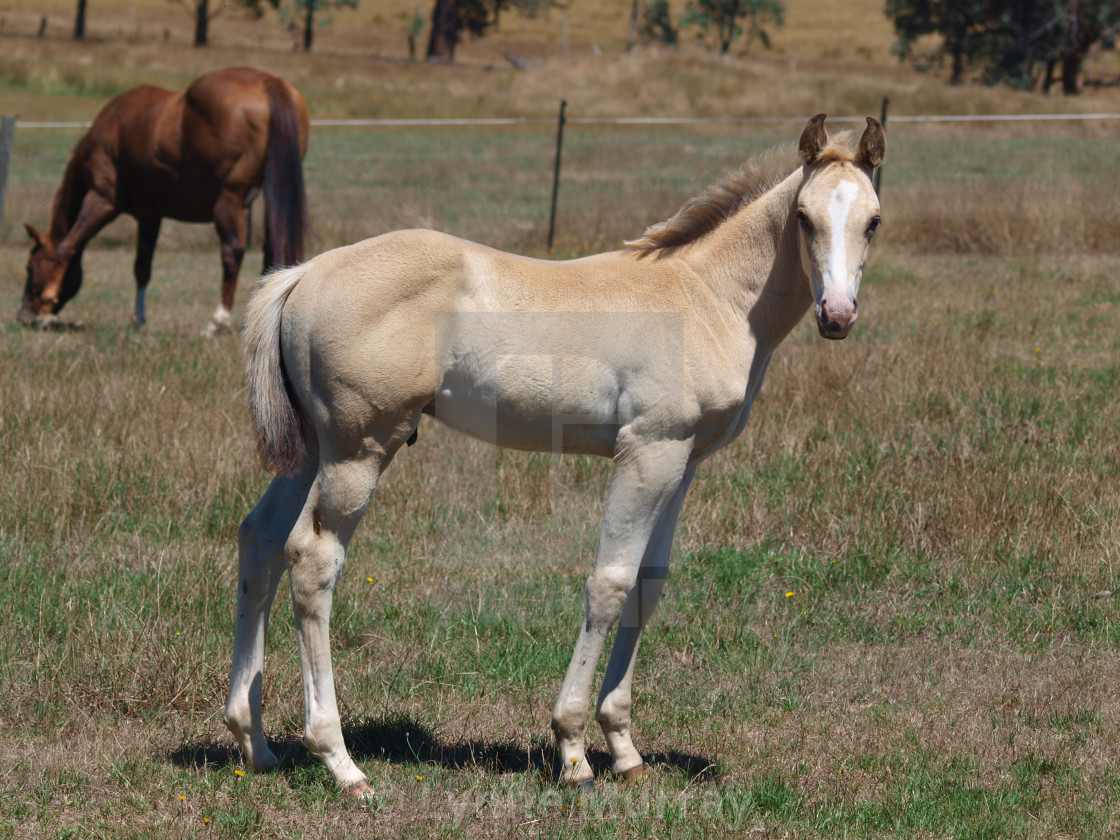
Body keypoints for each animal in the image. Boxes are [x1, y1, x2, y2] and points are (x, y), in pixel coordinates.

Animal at [20, 67, 311, 333]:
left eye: (30, 268)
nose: (24, 315)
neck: (113, 128)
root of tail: (265, 81)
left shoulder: (101, 201)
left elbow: (67, 246)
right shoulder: (150, 216)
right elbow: (142, 266)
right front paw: (138, 319)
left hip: (229, 200)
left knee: (233, 251)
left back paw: (217, 322)